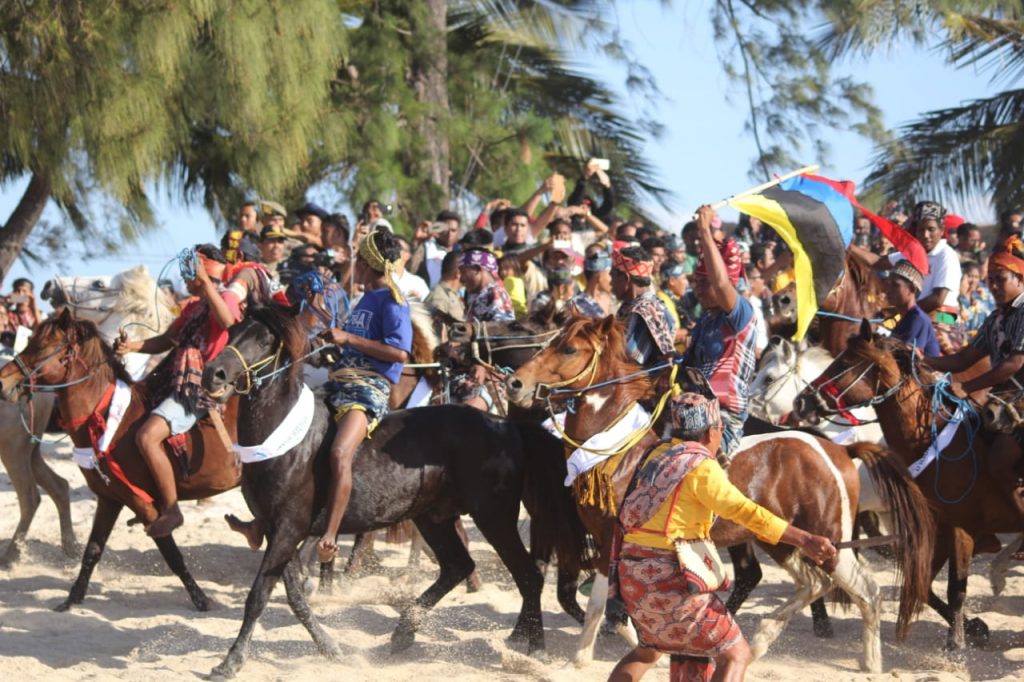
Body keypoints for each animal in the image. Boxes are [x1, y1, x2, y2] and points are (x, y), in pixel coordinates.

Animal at [0, 311, 239, 606]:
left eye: (41, 346)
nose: (2, 381)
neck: (107, 419)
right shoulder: (109, 498)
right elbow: (92, 550)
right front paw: (72, 598)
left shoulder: (144, 505)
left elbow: (171, 554)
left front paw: (199, 598)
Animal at [199, 305, 589, 675]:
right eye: (233, 331)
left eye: (265, 339)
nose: (213, 374)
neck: (288, 442)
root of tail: (505, 425)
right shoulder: (277, 531)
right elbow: (294, 596)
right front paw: (331, 647)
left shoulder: (288, 529)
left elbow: (258, 595)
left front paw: (229, 663)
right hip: (434, 517)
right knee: (458, 566)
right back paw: (404, 632)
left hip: (494, 517)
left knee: (528, 576)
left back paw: (536, 651)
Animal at [503, 315, 937, 671]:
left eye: (569, 349)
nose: (515, 383)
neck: (619, 447)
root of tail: (839, 451)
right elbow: (605, 606)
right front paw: (596, 652)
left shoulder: (613, 535)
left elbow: (604, 607)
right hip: (784, 540)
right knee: (814, 583)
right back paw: (762, 639)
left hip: (830, 540)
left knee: (866, 591)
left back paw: (871, 662)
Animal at [790, 323, 1024, 647]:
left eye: (845, 363)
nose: (801, 401)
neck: (937, 446)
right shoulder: (940, 527)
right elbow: (924, 587)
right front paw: (975, 628)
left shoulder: (959, 527)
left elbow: (956, 587)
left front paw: (955, 643)